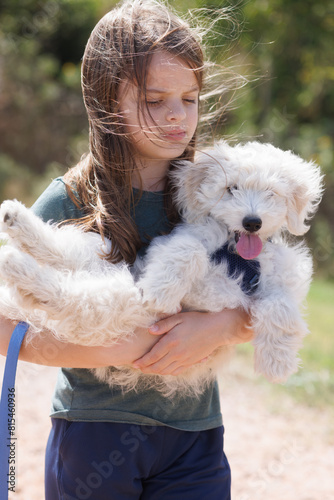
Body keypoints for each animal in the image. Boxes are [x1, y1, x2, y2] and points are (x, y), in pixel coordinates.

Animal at [0, 143, 324, 396]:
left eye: (271, 193)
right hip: (116, 297)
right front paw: (159, 291)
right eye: (231, 189)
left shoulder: (283, 280)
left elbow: (280, 306)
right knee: (66, 291)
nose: (252, 222)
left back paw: (14, 239)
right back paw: (14, 243)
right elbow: (190, 250)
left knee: (61, 269)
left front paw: (277, 362)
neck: (236, 255)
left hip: (103, 279)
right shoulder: (179, 241)